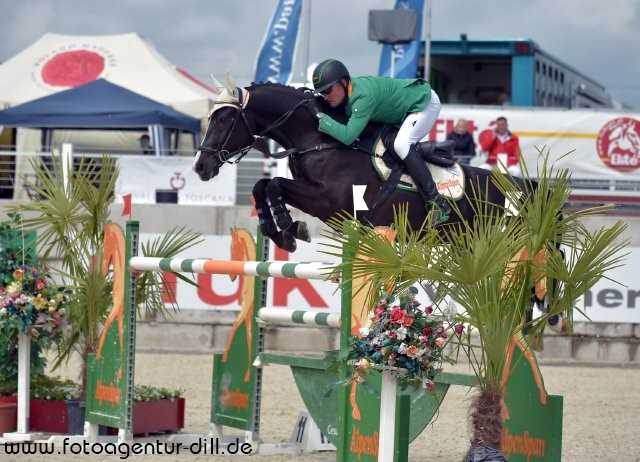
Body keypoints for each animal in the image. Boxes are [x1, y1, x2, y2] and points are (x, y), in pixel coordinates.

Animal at [194, 71, 536, 256]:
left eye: (224, 119)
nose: (200, 166)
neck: (319, 138)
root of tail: (524, 188)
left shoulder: (328, 201)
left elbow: (274, 184)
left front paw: (291, 229)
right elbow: (261, 185)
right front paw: (278, 231)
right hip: (465, 245)